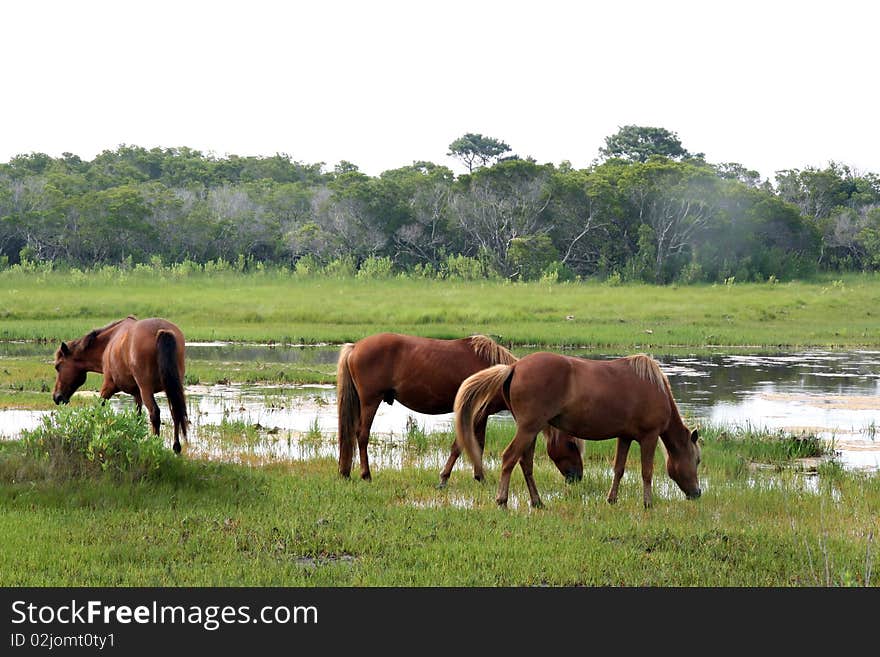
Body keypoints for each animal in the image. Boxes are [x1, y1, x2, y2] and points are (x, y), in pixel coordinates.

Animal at [52, 316, 189, 452]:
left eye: (58, 366)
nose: (56, 397)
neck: (108, 343)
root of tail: (162, 330)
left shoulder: (108, 386)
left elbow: (97, 410)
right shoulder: (137, 394)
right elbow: (138, 417)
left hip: (146, 389)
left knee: (155, 413)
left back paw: (155, 445)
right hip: (171, 387)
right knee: (175, 412)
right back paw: (176, 447)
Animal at [334, 334, 580, 482]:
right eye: (571, 445)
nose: (577, 476)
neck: (498, 375)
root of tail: (356, 347)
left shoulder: (482, 416)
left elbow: (477, 444)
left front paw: (479, 476)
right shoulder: (473, 413)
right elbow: (461, 445)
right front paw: (446, 477)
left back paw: (346, 472)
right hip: (370, 401)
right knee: (362, 435)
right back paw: (365, 474)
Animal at [454, 354, 700, 508]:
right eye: (697, 460)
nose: (697, 493)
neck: (656, 388)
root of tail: (514, 367)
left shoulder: (625, 437)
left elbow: (619, 469)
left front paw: (612, 499)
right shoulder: (648, 436)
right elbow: (646, 471)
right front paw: (648, 503)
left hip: (530, 431)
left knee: (526, 464)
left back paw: (537, 502)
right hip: (528, 428)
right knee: (509, 458)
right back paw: (502, 500)